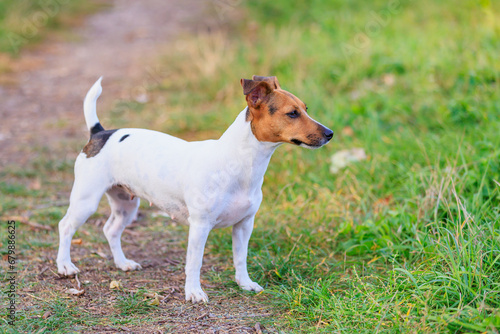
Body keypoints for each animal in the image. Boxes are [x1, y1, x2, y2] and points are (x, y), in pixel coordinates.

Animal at [56, 75, 334, 302]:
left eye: (305, 109)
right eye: (292, 113)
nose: (330, 133)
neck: (239, 164)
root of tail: (100, 133)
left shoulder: (244, 224)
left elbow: (240, 258)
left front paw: (244, 284)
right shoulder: (200, 226)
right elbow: (194, 263)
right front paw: (194, 293)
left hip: (127, 204)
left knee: (111, 229)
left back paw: (122, 263)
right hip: (86, 201)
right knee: (66, 226)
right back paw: (65, 266)